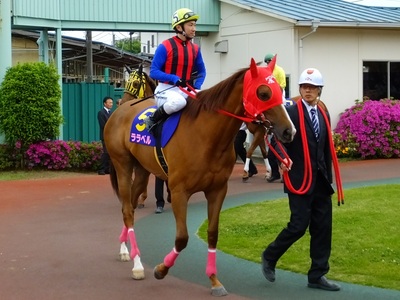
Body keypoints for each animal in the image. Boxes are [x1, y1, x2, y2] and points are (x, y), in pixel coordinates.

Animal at [104, 58, 296, 296]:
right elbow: (182, 238)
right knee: (127, 211)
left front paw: (214, 280)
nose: (289, 131)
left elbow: (212, 233)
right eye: (263, 93)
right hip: (122, 165)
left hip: (141, 171)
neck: (207, 136)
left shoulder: (217, 190)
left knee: (129, 205)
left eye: (279, 89)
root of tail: (118, 112)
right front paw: (161, 269)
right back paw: (138, 264)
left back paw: (124, 250)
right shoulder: (179, 191)